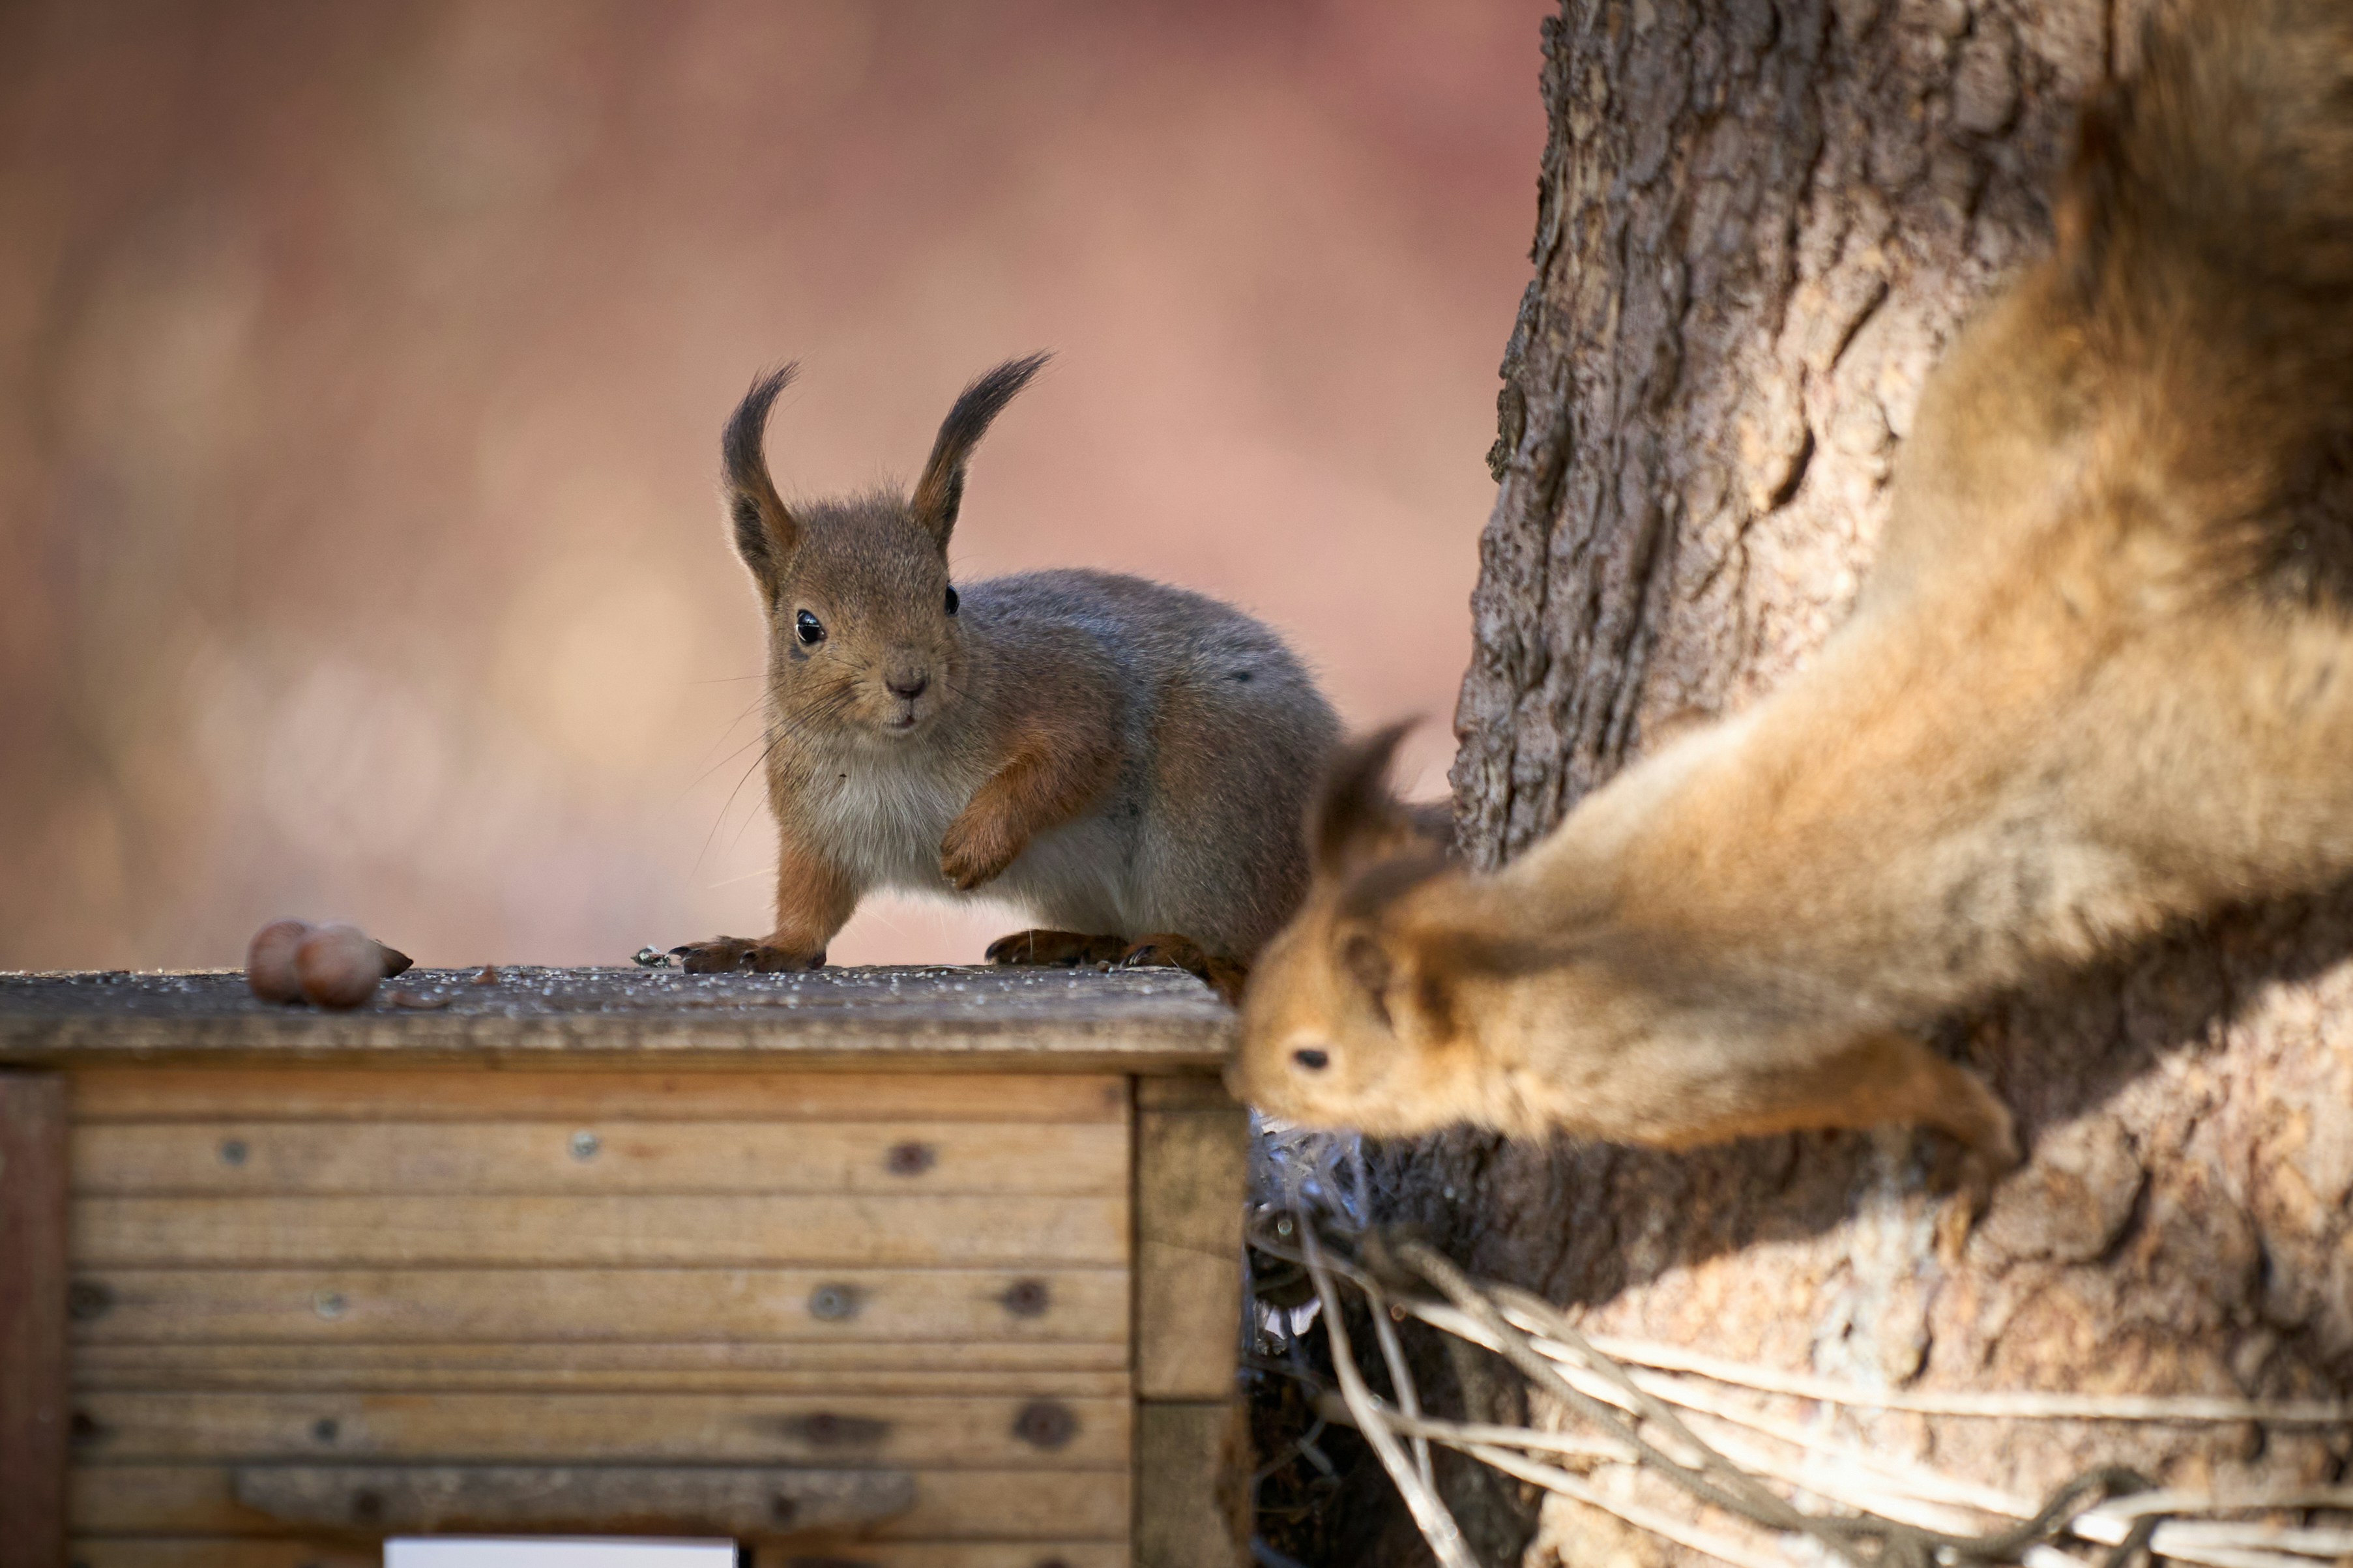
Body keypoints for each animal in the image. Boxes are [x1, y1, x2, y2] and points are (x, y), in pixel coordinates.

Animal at [673, 354, 1340, 986]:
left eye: (949, 597)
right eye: (807, 627)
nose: (910, 683)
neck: (890, 754)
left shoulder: (1077, 682)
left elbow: (1072, 755)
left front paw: (975, 845)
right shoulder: (818, 831)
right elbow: (809, 914)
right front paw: (761, 948)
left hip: (1216, 814)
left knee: (1258, 951)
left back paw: (1187, 949)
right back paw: (1070, 941)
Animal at [1231, 0, 2353, 1177]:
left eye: (1312, 1055)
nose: (1234, 1082)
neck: (1499, 945)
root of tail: (2094, 554)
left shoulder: (1696, 1072)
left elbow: (1868, 1072)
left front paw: (1974, 1123)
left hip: (2198, 773)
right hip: (1983, 446)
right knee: (2067, 311)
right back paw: (2085, 210)